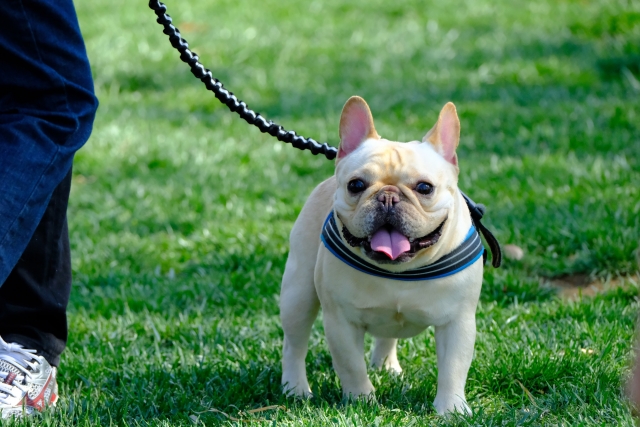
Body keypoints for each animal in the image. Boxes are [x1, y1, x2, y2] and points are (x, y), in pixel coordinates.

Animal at [278, 96, 482, 414]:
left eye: (425, 187)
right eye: (356, 185)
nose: (388, 196)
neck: (400, 271)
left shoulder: (457, 322)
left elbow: (453, 368)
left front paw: (451, 409)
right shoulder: (341, 322)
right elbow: (351, 366)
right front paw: (361, 401)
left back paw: (386, 367)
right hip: (298, 294)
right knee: (294, 344)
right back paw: (295, 389)